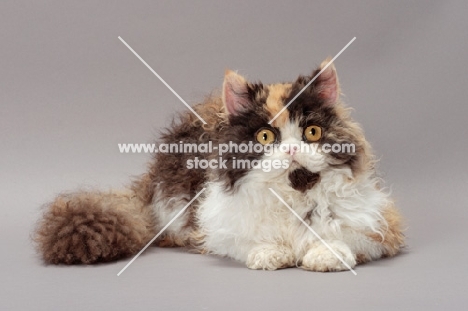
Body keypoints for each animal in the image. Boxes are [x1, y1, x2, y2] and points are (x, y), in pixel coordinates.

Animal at [34, 59, 404, 272]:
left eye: (311, 132)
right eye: (266, 137)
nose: (290, 150)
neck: (293, 195)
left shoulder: (384, 225)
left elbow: (346, 235)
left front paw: (324, 253)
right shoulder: (215, 228)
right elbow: (246, 242)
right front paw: (271, 253)